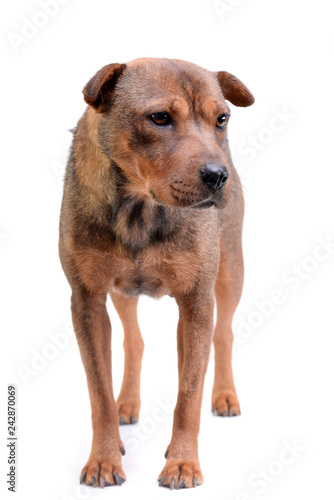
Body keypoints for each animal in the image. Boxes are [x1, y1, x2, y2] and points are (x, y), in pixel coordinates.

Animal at [58, 57, 254, 488]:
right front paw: (104, 458)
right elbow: (98, 391)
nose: (217, 175)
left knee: (223, 334)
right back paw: (127, 404)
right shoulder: (87, 301)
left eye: (222, 119)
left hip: (230, 271)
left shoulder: (197, 300)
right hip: (121, 292)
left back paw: (225, 395)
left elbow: (189, 393)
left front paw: (182, 463)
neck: (140, 207)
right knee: (135, 341)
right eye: (160, 117)